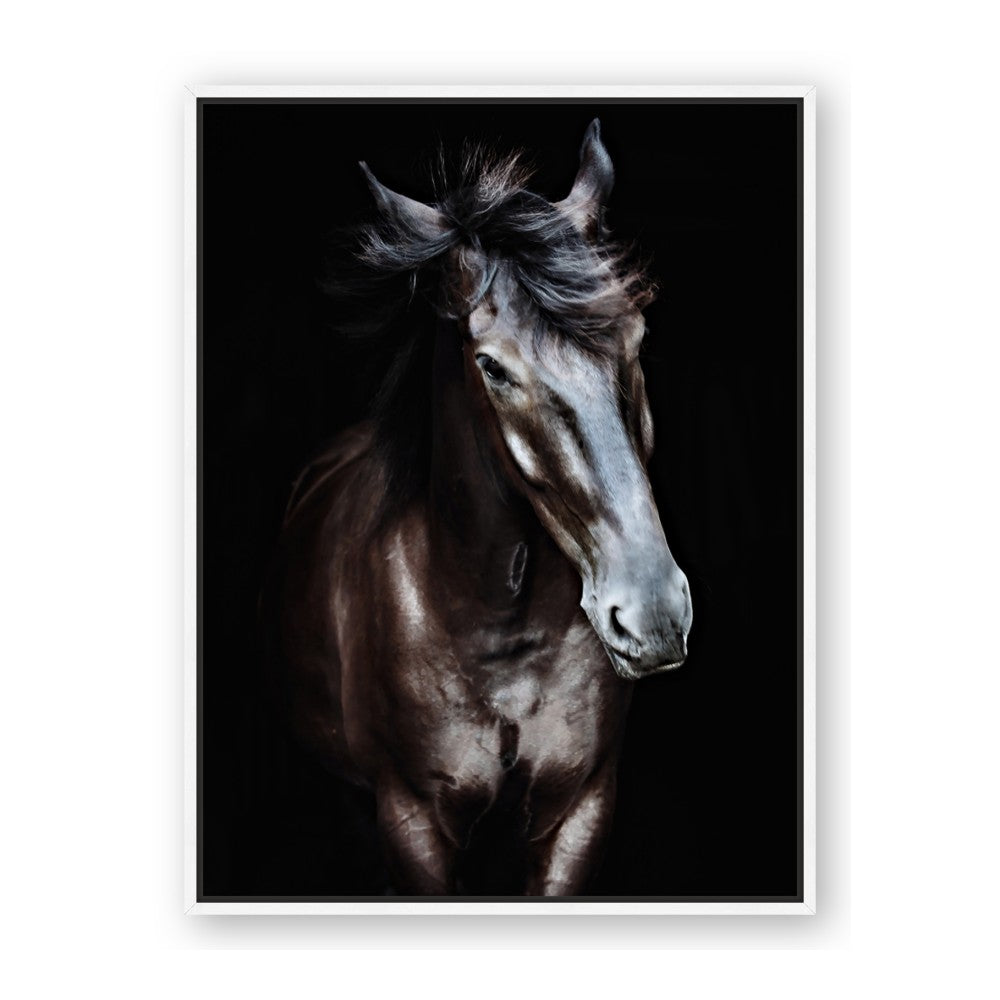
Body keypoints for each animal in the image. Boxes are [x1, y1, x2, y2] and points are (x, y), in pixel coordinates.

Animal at [264, 120, 693, 896]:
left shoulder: (578, 813)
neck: (498, 630)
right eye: (492, 366)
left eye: (637, 335)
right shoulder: (413, 825)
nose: (652, 613)